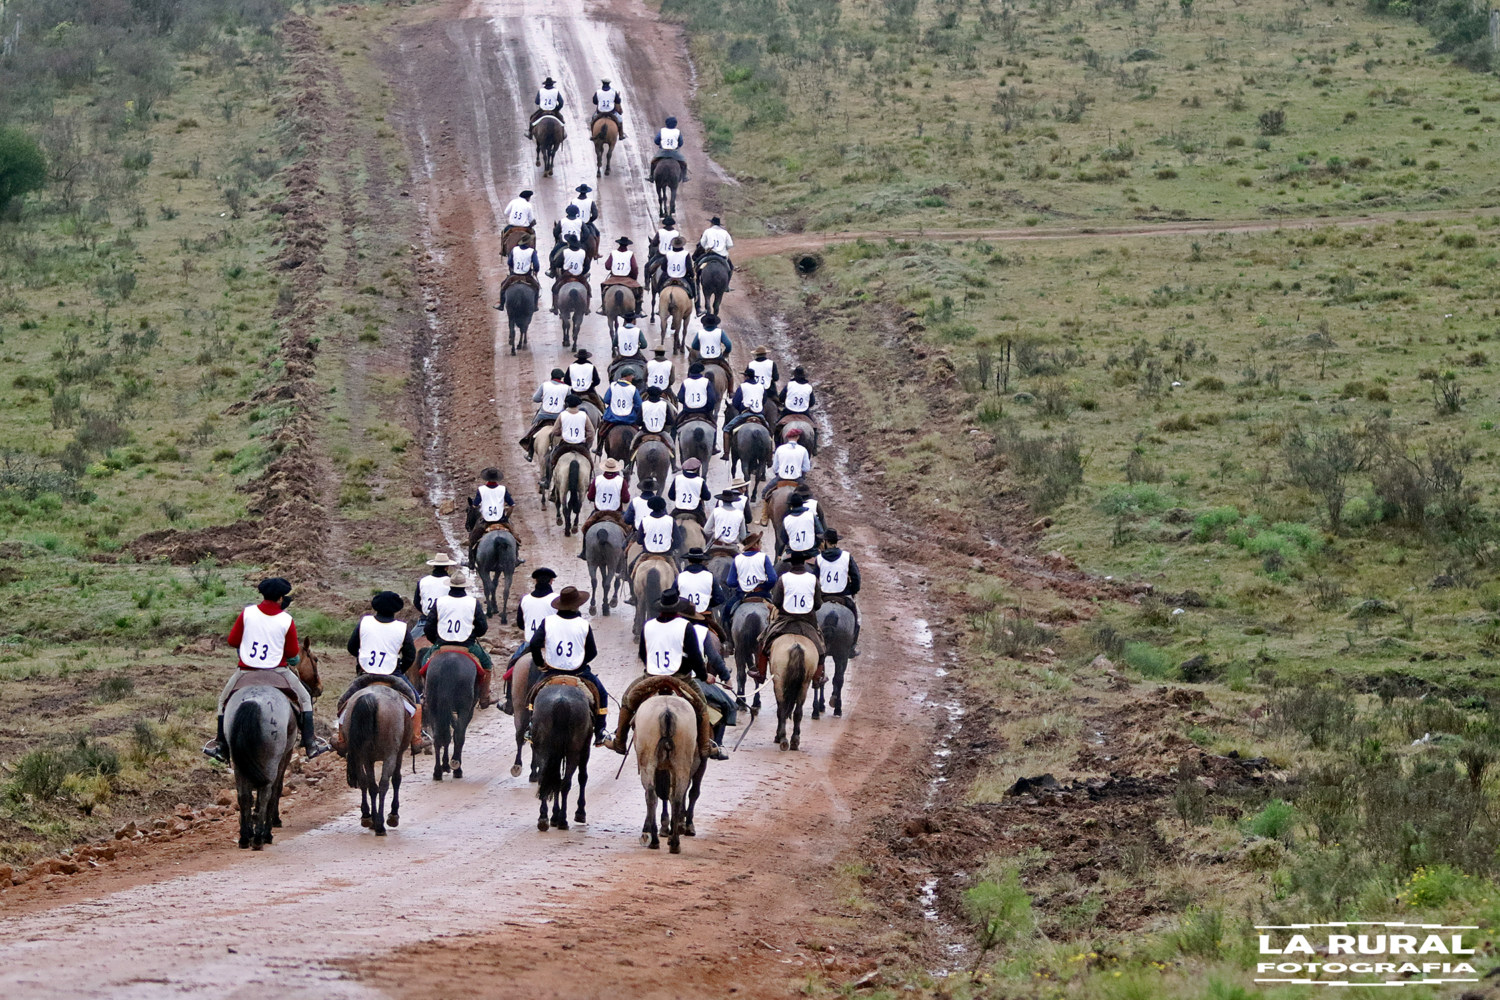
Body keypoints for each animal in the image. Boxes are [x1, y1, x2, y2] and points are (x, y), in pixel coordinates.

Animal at [225, 641, 322, 851]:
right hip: (271, 760)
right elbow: (277, 789)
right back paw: (262, 836)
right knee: (266, 792)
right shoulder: (286, 754)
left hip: (239, 763)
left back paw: (245, 837)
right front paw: (273, 821)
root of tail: (254, 700)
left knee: (244, 795)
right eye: (315, 659)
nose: (319, 688)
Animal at [423, 653, 474, 785]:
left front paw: (445, 765)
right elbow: (456, 733)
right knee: (459, 734)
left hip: (432, 705)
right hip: (464, 706)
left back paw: (437, 772)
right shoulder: (468, 709)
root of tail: (449, 663)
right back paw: (457, 767)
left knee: (438, 736)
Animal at [534, 683, 591, 833]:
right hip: (574, 751)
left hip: (544, 749)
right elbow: (582, 777)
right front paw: (580, 813)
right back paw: (563, 820)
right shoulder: (585, 748)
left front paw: (553, 816)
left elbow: (554, 780)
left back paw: (543, 818)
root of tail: (561, 701)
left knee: (545, 778)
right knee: (566, 783)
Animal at [630, 695, 705, 851]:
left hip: (649, 763)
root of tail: (667, 711)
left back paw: (656, 840)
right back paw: (674, 842)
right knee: (676, 797)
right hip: (682, 763)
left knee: (652, 795)